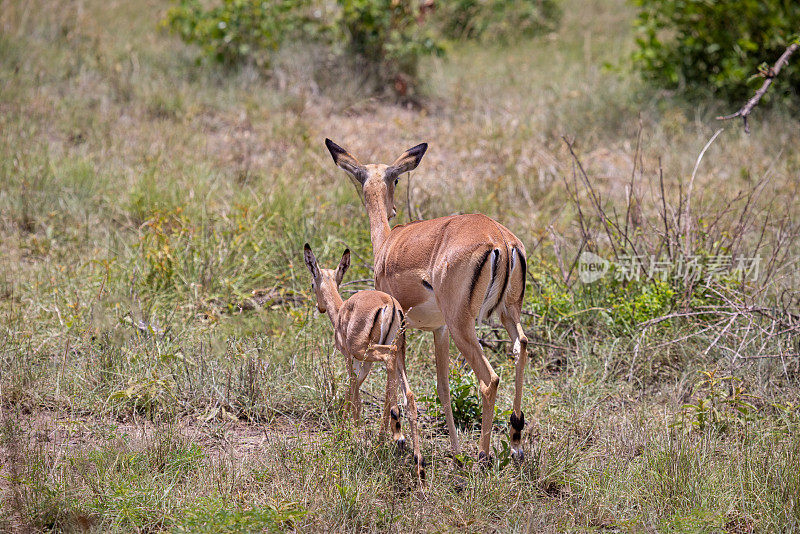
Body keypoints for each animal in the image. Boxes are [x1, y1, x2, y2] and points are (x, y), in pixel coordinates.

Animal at [302, 245, 424, 484]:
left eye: (312, 283)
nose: (319, 308)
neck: (341, 312)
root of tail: (390, 304)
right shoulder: (364, 365)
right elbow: (354, 389)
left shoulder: (350, 357)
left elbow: (353, 391)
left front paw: (347, 433)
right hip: (399, 353)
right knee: (409, 394)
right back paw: (418, 463)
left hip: (372, 350)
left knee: (389, 365)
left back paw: (388, 437)